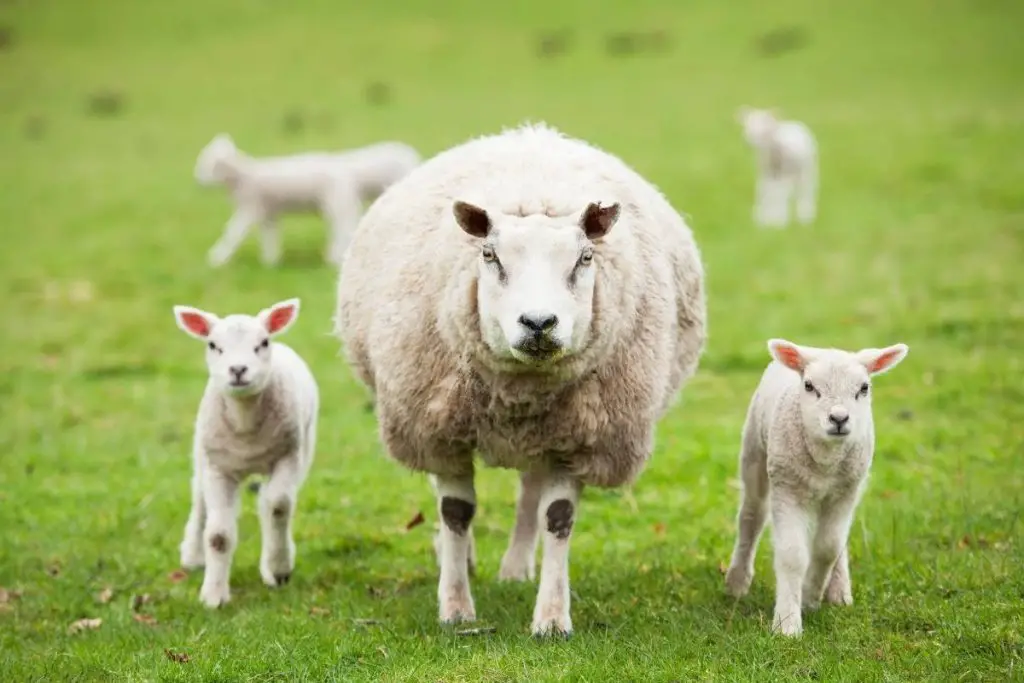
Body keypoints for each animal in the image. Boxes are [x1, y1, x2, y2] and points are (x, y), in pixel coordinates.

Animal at [172, 296, 317, 606]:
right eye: (213, 345)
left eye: (262, 342)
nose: (238, 370)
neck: (245, 425)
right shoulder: (218, 468)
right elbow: (218, 535)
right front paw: (213, 596)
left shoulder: (288, 455)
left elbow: (277, 506)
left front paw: (278, 568)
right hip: (202, 453)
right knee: (199, 501)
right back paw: (192, 555)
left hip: (304, 448)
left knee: (272, 502)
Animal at [193, 135, 421, 268]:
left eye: (206, 164)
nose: (196, 180)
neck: (244, 178)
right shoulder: (269, 212)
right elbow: (270, 237)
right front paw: (270, 262)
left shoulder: (251, 207)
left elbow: (232, 233)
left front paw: (216, 259)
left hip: (338, 201)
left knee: (345, 228)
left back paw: (335, 259)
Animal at [333, 121, 704, 634]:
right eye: (490, 255)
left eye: (585, 258)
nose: (539, 323)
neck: (520, 392)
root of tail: (528, 135)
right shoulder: (442, 428)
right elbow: (456, 511)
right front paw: (455, 607)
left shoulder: (578, 436)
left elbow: (559, 516)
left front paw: (551, 618)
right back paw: (461, 557)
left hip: (545, 434)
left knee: (530, 492)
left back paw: (516, 567)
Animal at [720, 339, 913, 638]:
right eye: (809, 386)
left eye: (864, 388)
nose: (839, 419)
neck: (825, 462)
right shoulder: (787, 489)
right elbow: (793, 555)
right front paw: (787, 624)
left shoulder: (845, 493)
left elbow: (828, 548)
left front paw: (810, 596)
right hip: (755, 454)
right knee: (751, 517)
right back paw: (737, 582)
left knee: (836, 540)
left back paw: (839, 591)